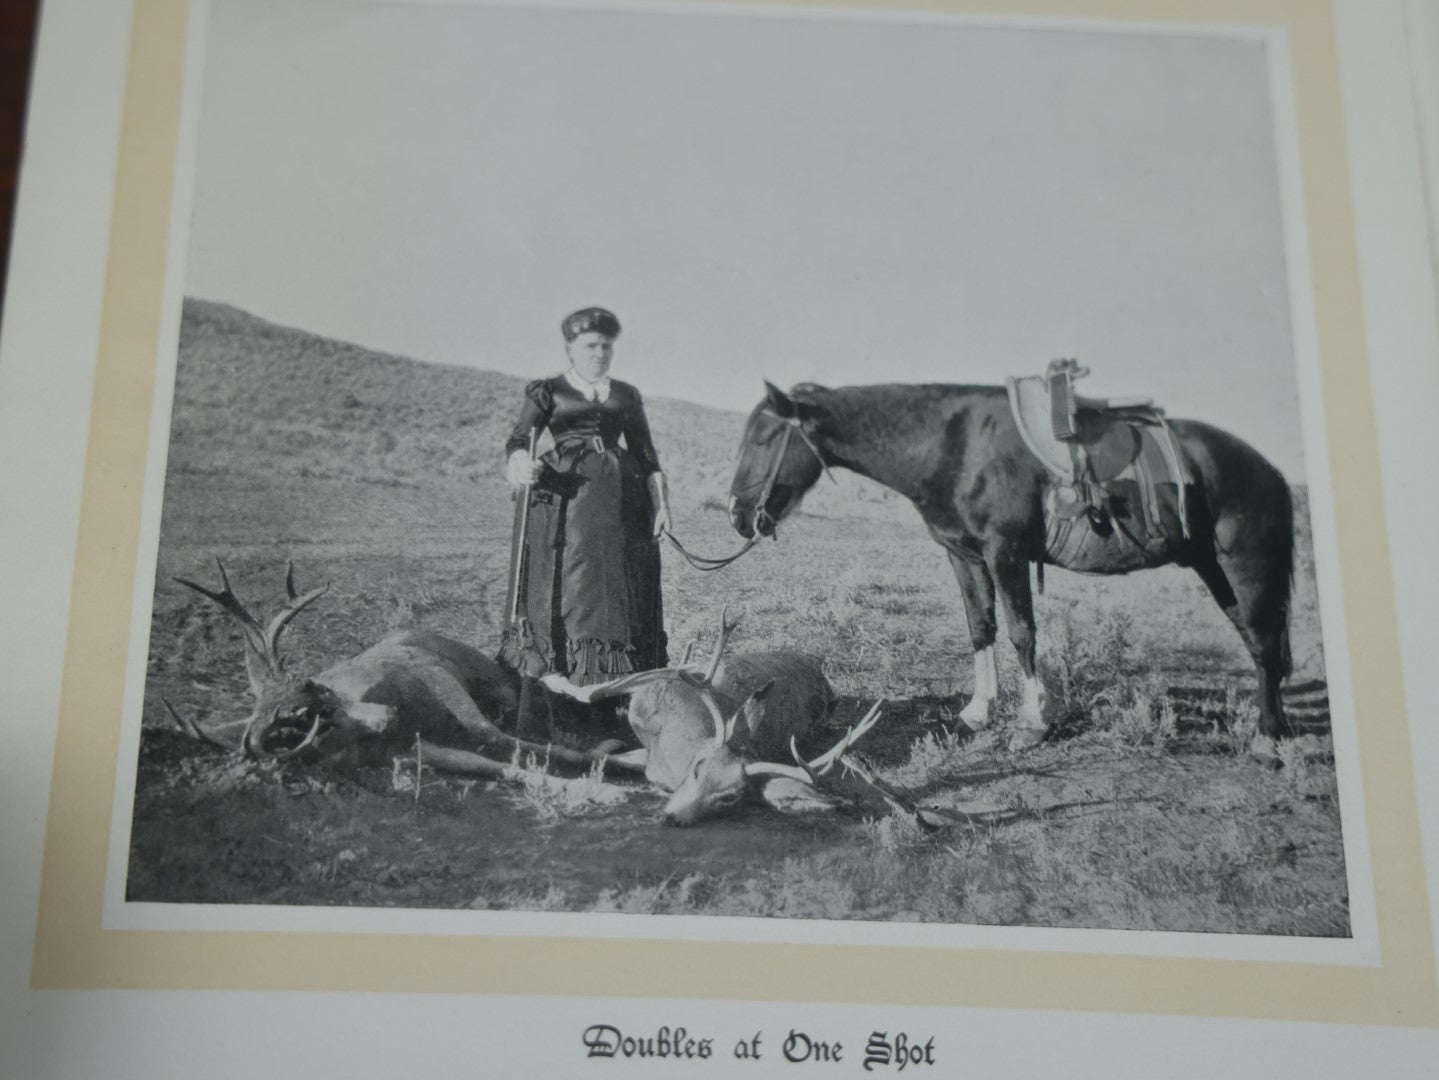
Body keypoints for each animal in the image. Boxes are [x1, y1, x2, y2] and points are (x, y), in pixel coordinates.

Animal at [165, 566, 621, 776]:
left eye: (317, 697)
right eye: (293, 736)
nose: (388, 719)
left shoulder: (432, 674)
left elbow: (514, 740)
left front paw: (610, 753)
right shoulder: (417, 749)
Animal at [731, 382, 1295, 753]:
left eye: (763, 440)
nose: (738, 513)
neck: (955, 444)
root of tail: (1270, 469)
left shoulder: (1006, 554)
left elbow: (1023, 633)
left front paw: (1032, 721)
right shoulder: (964, 555)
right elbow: (981, 626)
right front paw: (980, 710)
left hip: (1247, 566)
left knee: (1264, 643)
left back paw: (1269, 739)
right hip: (1216, 570)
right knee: (1257, 641)